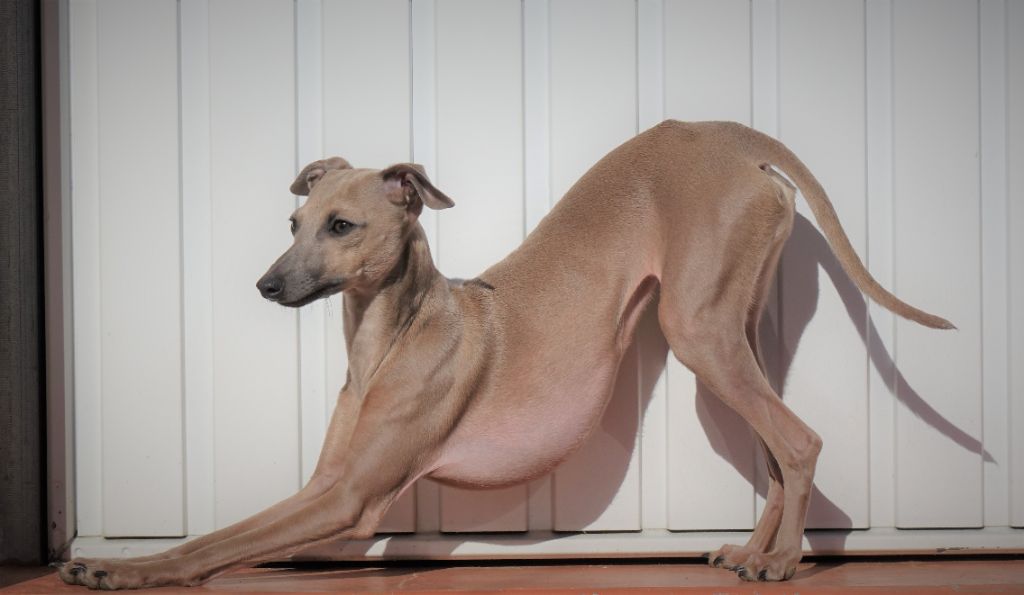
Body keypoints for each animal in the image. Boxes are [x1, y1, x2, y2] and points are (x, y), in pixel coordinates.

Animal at [58, 120, 950, 589]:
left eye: (341, 225)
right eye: (293, 223)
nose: (266, 284)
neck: (393, 333)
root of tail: (728, 137)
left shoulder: (350, 497)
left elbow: (214, 540)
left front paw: (120, 569)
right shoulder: (326, 494)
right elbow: (231, 533)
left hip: (700, 335)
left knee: (799, 442)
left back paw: (786, 561)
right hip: (734, 334)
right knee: (774, 452)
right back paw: (752, 551)